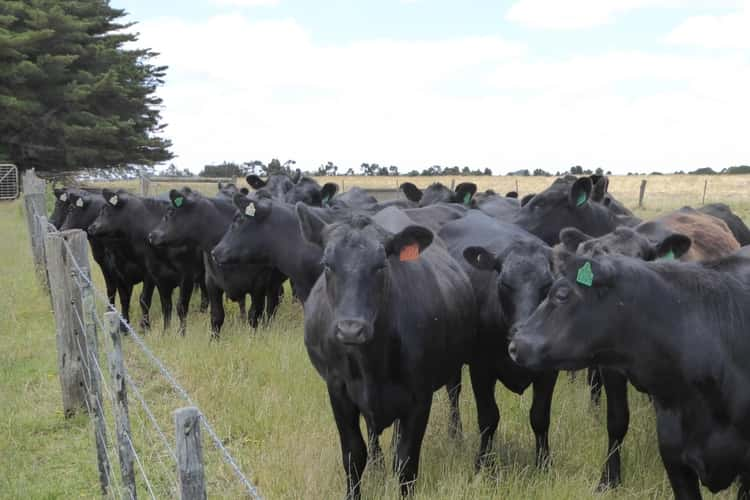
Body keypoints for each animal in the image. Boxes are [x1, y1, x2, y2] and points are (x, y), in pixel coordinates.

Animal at [88, 189, 203, 334]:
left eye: (106, 210)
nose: (91, 227)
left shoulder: (166, 275)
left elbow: (146, 300)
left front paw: (146, 327)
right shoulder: (124, 273)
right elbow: (125, 299)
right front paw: (125, 327)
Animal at [150, 189, 284, 338]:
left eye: (170, 212)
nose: (152, 235)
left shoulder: (259, 284)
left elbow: (254, 315)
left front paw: (253, 338)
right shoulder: (211, 282)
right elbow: (216, 316)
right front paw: (213, 340)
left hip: (273, 283)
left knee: (272, 307)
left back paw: (267, 328)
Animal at [296, 205, 478, 498]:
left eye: (381, 265)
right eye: (327, 265)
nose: (350, 329)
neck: (372, 361)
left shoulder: (419, 396)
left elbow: (406, 462)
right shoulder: (338, 390)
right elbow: (353, 454)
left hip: (454, 367)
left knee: (453, 395)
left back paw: (455, 436)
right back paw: (378, 464)